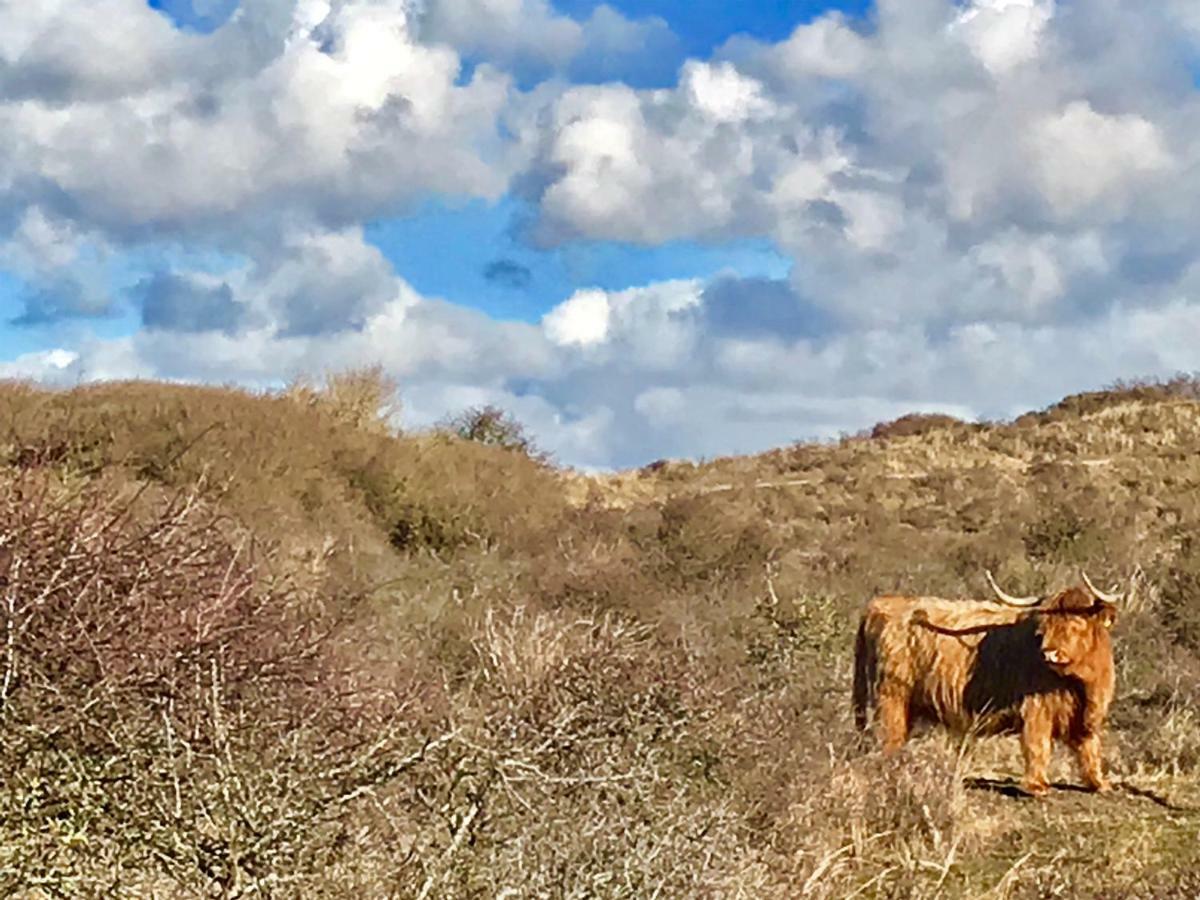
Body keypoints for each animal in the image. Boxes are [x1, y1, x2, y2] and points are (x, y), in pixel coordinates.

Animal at [849, 571, 1118, 796]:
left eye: (1076, 623)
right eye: (1044, 627)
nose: (1048, 653)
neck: (1080, 683)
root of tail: (880, 604)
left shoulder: (1085, 714)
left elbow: (1090, 747)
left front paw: (1099, 783)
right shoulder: (1037, 709)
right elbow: (1038, 744)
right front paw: (1038, 786)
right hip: (891, 695)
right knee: (889, 735)